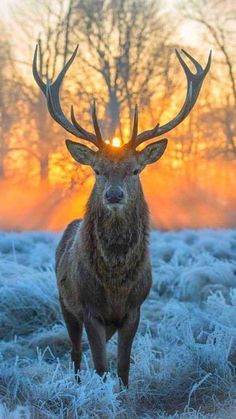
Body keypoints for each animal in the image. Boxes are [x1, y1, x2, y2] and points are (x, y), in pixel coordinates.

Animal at [32, 46, 211, 388]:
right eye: (97, 169)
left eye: (136, 170)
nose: (114, 195)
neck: (115, 284)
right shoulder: (89, 309)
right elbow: (101, 366)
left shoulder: (135, 309)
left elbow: (124, 367)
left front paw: (124, 392)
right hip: (64, 302)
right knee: (75, 353)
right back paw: (77, 384)